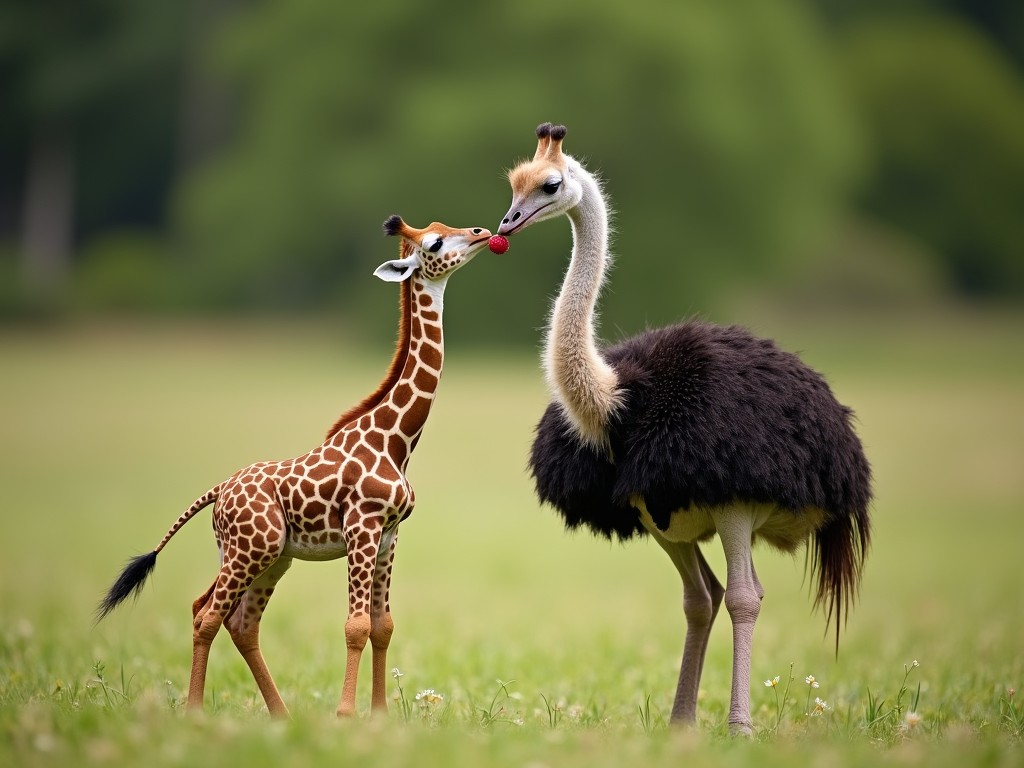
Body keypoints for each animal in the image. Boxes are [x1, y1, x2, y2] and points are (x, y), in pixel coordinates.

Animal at [96, 218, 491, 720]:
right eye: (435, 242)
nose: (483, 232)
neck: (395, 441)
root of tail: (218, 490)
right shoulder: (362, 528)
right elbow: (356, 626)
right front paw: (346, 717)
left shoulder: (389, 535)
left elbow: (383, 626)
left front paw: (380, 717)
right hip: (253, 549)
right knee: (210, 616)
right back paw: (196, 714)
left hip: (266, 555)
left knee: (231, 619)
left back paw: (280, 716)